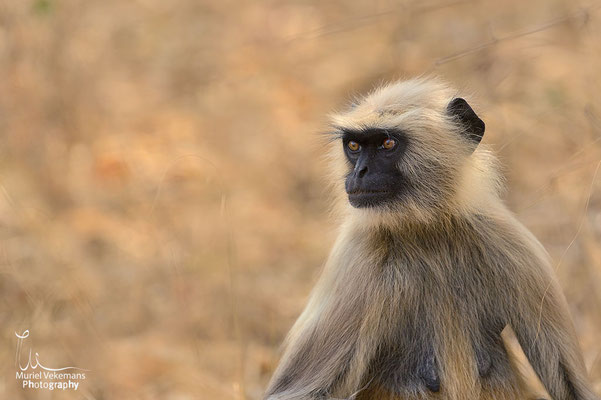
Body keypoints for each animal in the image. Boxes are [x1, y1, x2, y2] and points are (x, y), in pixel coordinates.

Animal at [264, 79, 596, 400]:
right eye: (354, 146)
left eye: (387, 143)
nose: (359, 173)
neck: (426, 230)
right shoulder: (358, 256)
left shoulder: (511, 243)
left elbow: (571, 386)